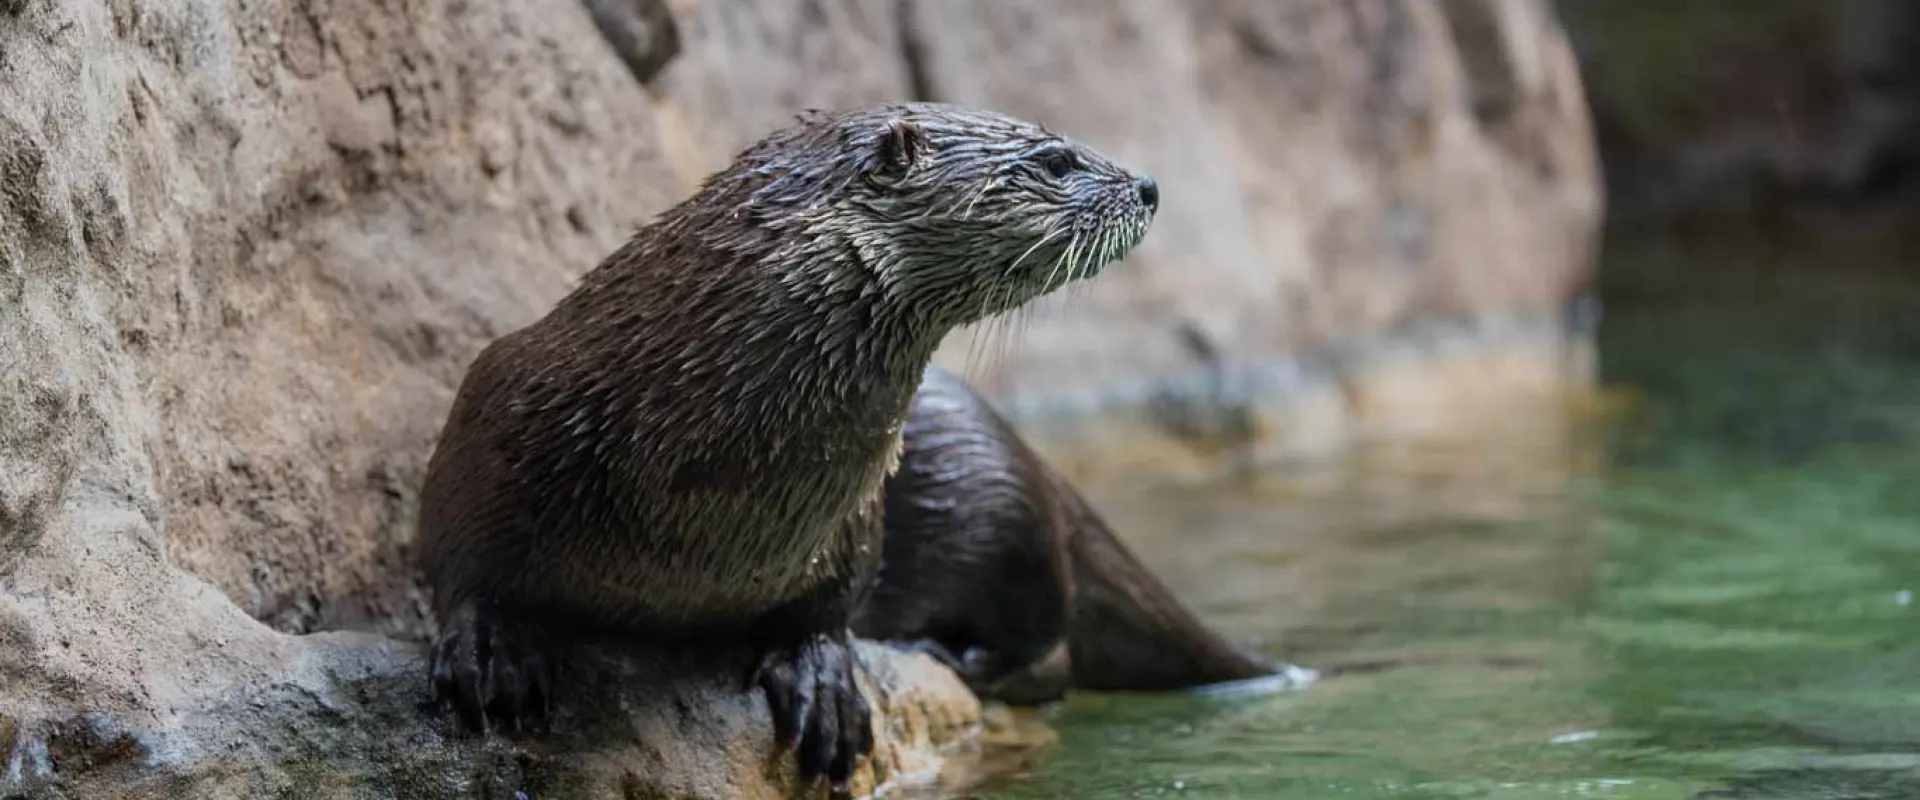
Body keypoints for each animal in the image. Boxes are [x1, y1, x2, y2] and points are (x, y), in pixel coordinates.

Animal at [414, 102, 1159, 789]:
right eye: (1057, 161)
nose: (1150, 186)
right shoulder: (493, 410)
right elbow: (459, 558)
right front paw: (492, 648)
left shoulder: (856, 513)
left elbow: (831, 608)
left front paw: (823, 683)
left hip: (1000, 500)